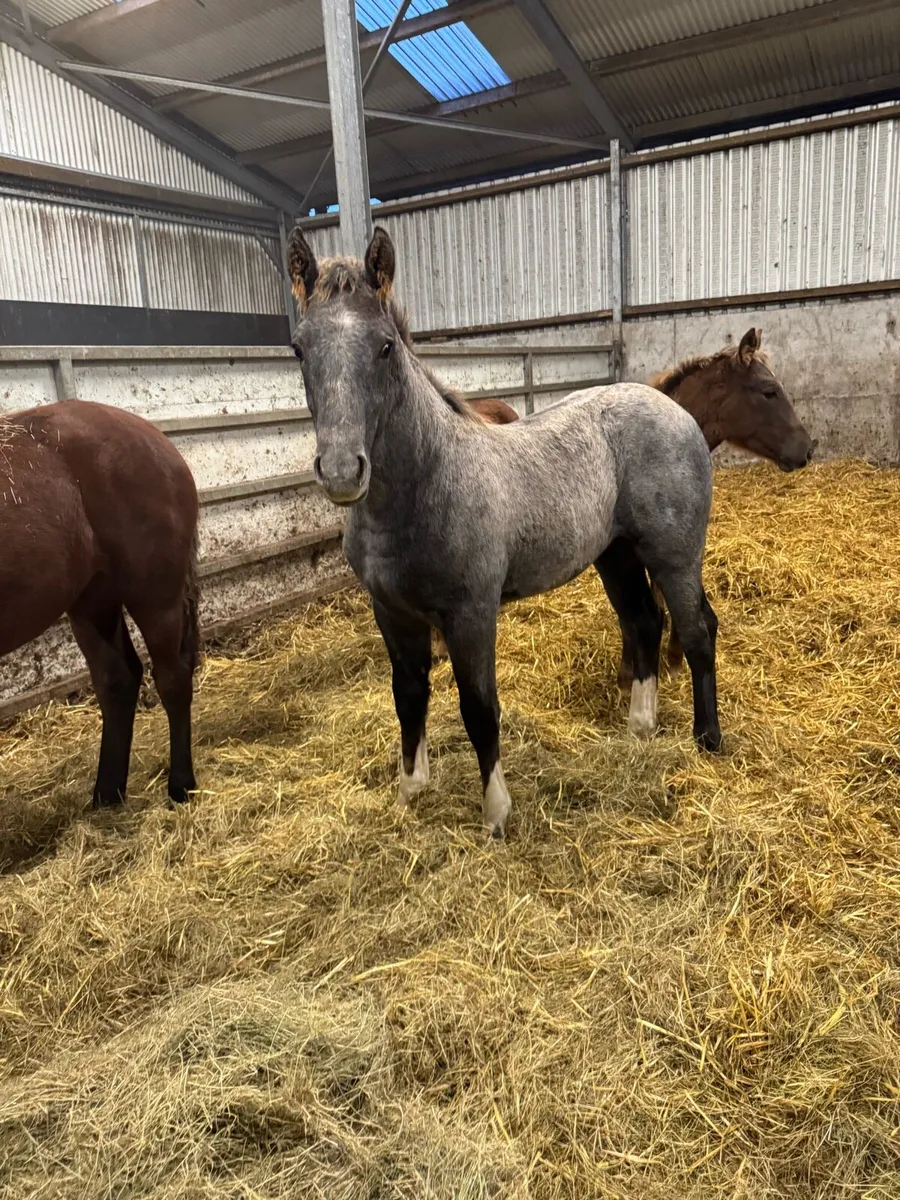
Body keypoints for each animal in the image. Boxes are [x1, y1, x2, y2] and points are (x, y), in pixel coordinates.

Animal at [0, 400, 200, 808]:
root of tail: (157, 439)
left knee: (172, 678)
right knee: (117, 679)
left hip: (154, 598)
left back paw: (181, 785)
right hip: (92, 601)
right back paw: (108, 794)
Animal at [287, 225, 721, 838]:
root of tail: (674, 411)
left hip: (674, 556)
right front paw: (410, 791)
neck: (428, 482)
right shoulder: (391, 611)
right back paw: (640, 726)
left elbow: (478, 706)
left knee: (697, 630)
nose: (344, 471)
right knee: (644, 622)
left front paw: (496, 813)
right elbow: (408, 695)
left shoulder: (471, 613)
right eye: (299, 348)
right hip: (614, 554)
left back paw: (707, 740)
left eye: (385, 345)